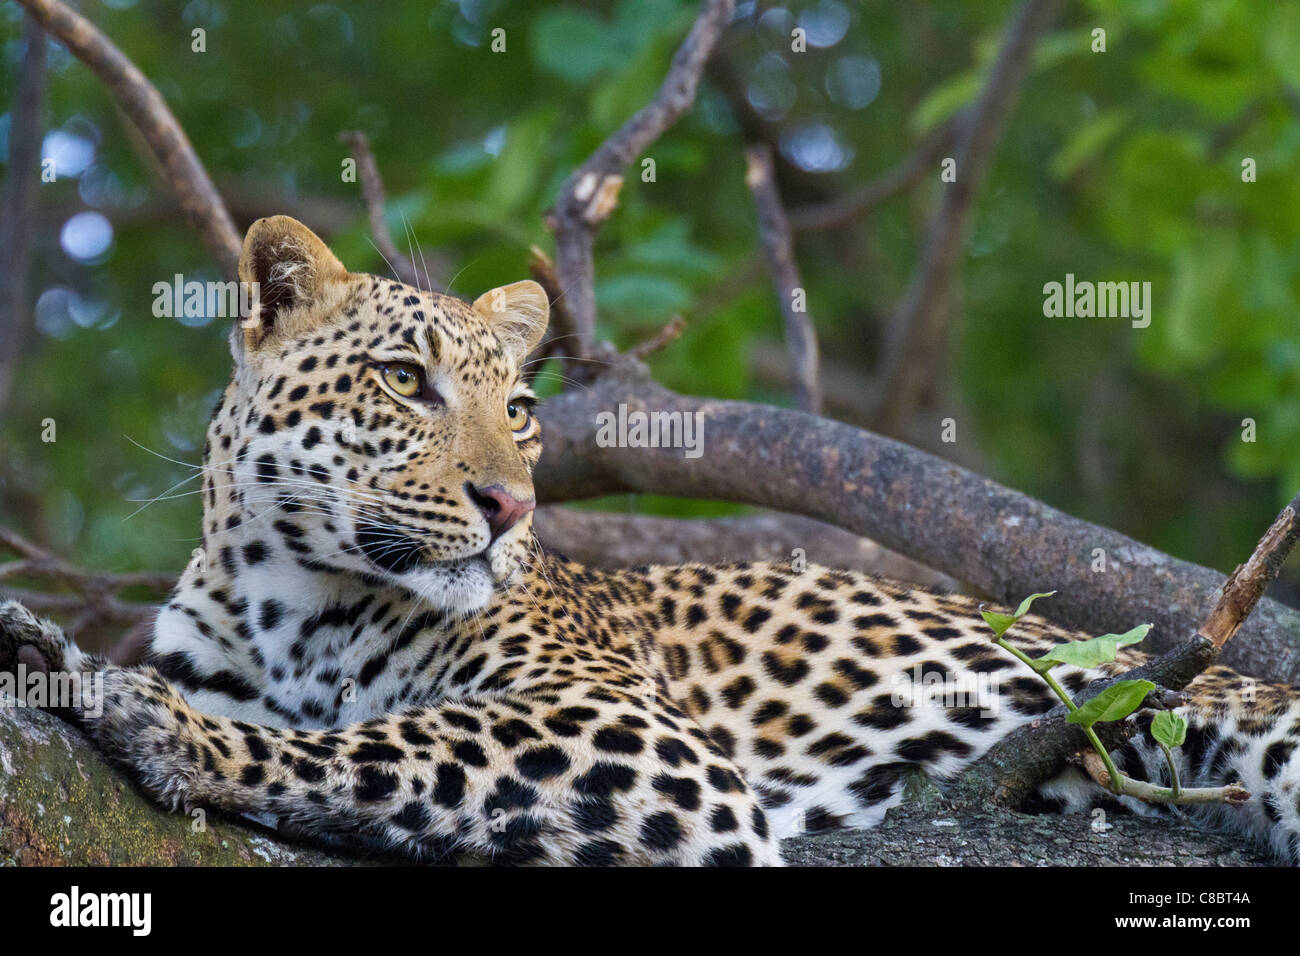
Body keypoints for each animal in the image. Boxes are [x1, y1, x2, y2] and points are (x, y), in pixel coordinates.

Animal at [2, 215, 1299, 866]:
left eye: (521, 408)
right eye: (405, 381)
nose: (510, 506)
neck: (287, 599)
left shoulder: (634, 734)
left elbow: (378, 746)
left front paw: (140, 710)